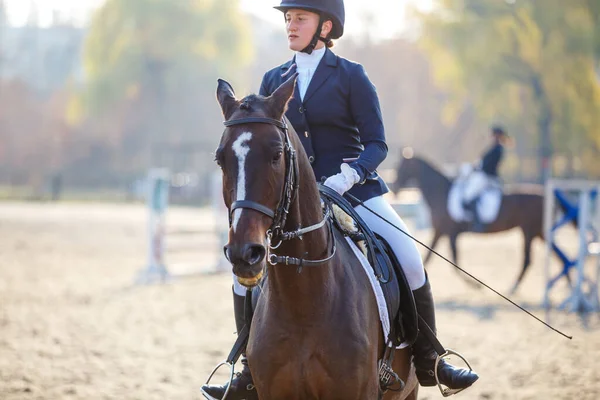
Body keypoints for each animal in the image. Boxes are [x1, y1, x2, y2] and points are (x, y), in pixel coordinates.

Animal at [392, 153, 552, 294]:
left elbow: (453, 262)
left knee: (528, 260)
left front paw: (476, 285)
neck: (441, 193)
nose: (395, 189)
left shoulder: (448, 232)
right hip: (538, 232)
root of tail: (542, 195)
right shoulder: (442, 232)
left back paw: (513, 287)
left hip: (529, 231)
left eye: (402, 167)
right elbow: (432, 257)